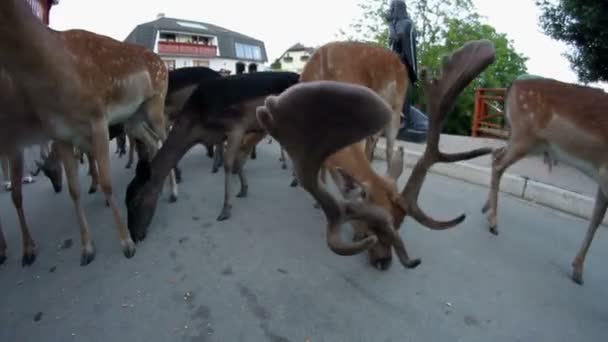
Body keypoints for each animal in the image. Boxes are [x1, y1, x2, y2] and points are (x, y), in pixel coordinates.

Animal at [123, 70, 300, 240]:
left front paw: (225, 210)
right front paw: (243, 190)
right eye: (125, 202)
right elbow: (237, 159)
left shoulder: (236, 127)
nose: (135, 236)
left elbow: (228, 164)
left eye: (135, 201)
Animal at [258, 39, 496, 270]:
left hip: (395, 108)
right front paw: (318, 198)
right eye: (367, 232)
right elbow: (328, 169)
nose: (385, 262)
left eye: (399, 224)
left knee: (389, 149)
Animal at [480, 77, 608, 286]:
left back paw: (486, 208)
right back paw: (494, 223)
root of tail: (512, 85)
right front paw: (578, 271)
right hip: (524, 136)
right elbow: (597, 218)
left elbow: (596, 218)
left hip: (531, 144)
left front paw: (578, 270)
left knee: (496, 154)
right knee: (499, 163)